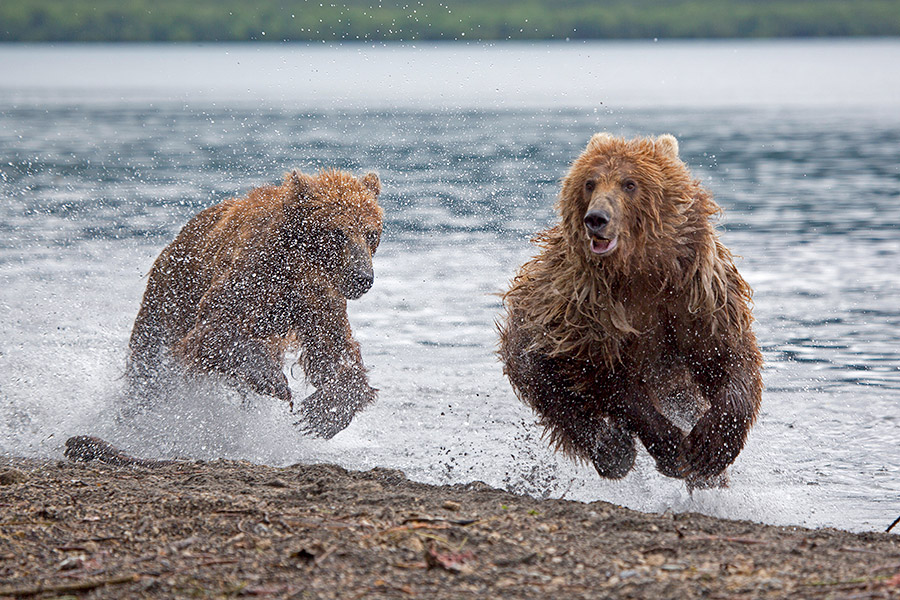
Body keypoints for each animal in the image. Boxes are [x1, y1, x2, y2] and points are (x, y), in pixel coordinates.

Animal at [127, 166, 384, 438]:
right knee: (148, 362)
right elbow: (214, 331)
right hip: (169, 297)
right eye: (338, 232)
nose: (362, 277)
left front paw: (325, 412)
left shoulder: (317, 296)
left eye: (371, 233)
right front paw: (273, 379)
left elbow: (332, 348)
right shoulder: (251, 274)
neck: (296, 263)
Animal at [496, 134, 764, 486]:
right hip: (531, 336)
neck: (640, 270)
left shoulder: (698, 296)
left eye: (629, 184)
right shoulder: (587, 310)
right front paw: (670, 446)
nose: (596, 218)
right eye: (590, 183)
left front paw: (710, 447)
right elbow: (605, 377)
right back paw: (613, 449)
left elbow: (726, 357)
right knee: (555, 394)